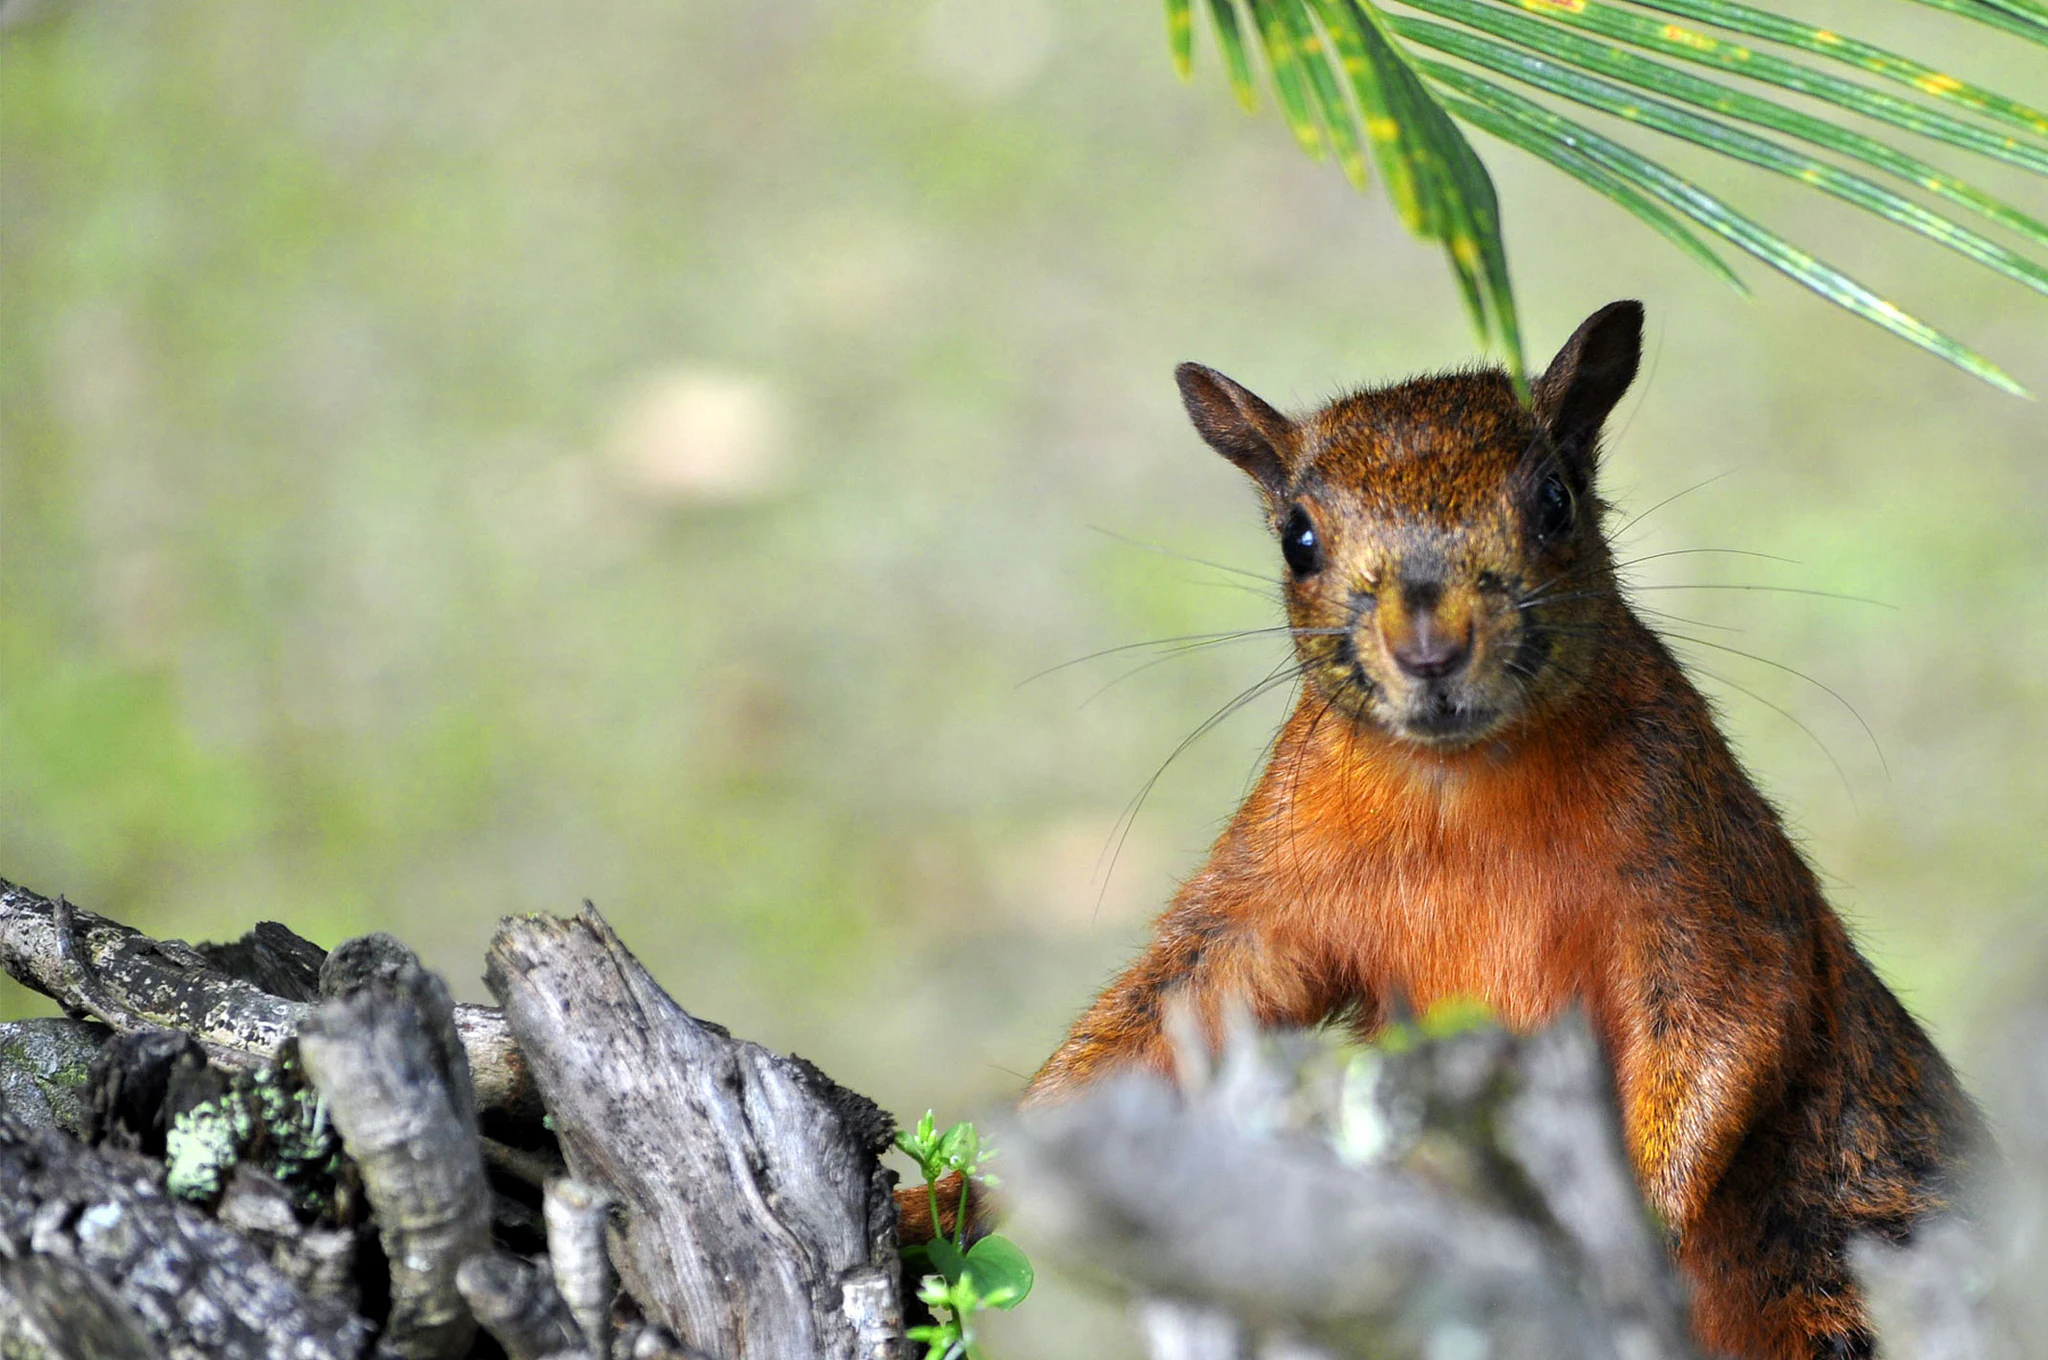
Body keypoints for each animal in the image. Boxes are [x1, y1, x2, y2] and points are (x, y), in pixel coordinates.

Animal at [899, 301, 1982, 1359]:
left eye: (1554, 502)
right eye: (1296, 537)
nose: (1428, 643)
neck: (1461, 787)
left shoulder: (1702, 866)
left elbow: (1725, 1030)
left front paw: (1626, 1230)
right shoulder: (1266, 895)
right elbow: (1156, 1024)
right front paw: (944, 1198)